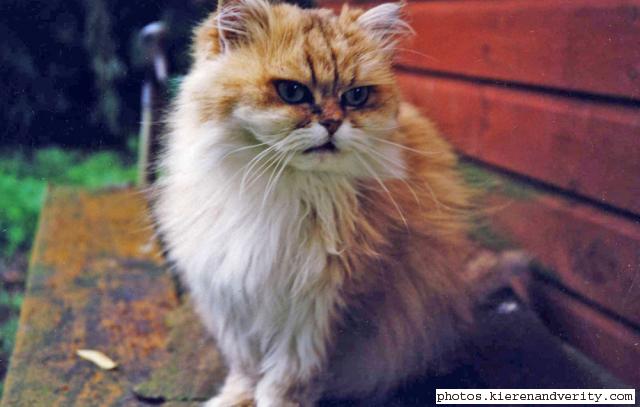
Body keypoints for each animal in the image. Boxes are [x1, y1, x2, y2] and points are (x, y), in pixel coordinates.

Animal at [154, 1, 476, 406]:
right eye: (293, 92)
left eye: (356, 97)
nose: (333, 124)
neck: (280, 190)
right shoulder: (234, 303)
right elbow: (246, 373)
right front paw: (233, 399)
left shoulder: (315, 313)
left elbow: (284, 383)